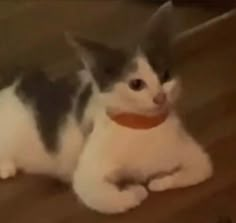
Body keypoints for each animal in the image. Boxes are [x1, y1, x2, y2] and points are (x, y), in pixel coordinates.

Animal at [72, 2, 214, 214]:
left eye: (165, 76)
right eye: (136, 84)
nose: (160, 97)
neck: (144, 127)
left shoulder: (198, 158)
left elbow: (198, 170)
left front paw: (159, 181)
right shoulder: (86, 176)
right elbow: (103, 197)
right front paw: (134, 191)